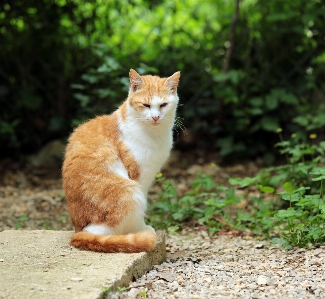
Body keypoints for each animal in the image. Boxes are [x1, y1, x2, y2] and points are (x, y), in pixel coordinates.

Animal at [61, 69, 180, 253]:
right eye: (146, 105)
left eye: (163, 105)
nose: (155, 117)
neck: (155, 134)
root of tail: (77, 231)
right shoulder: (139, 177)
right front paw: (141, 228)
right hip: (130, 191)